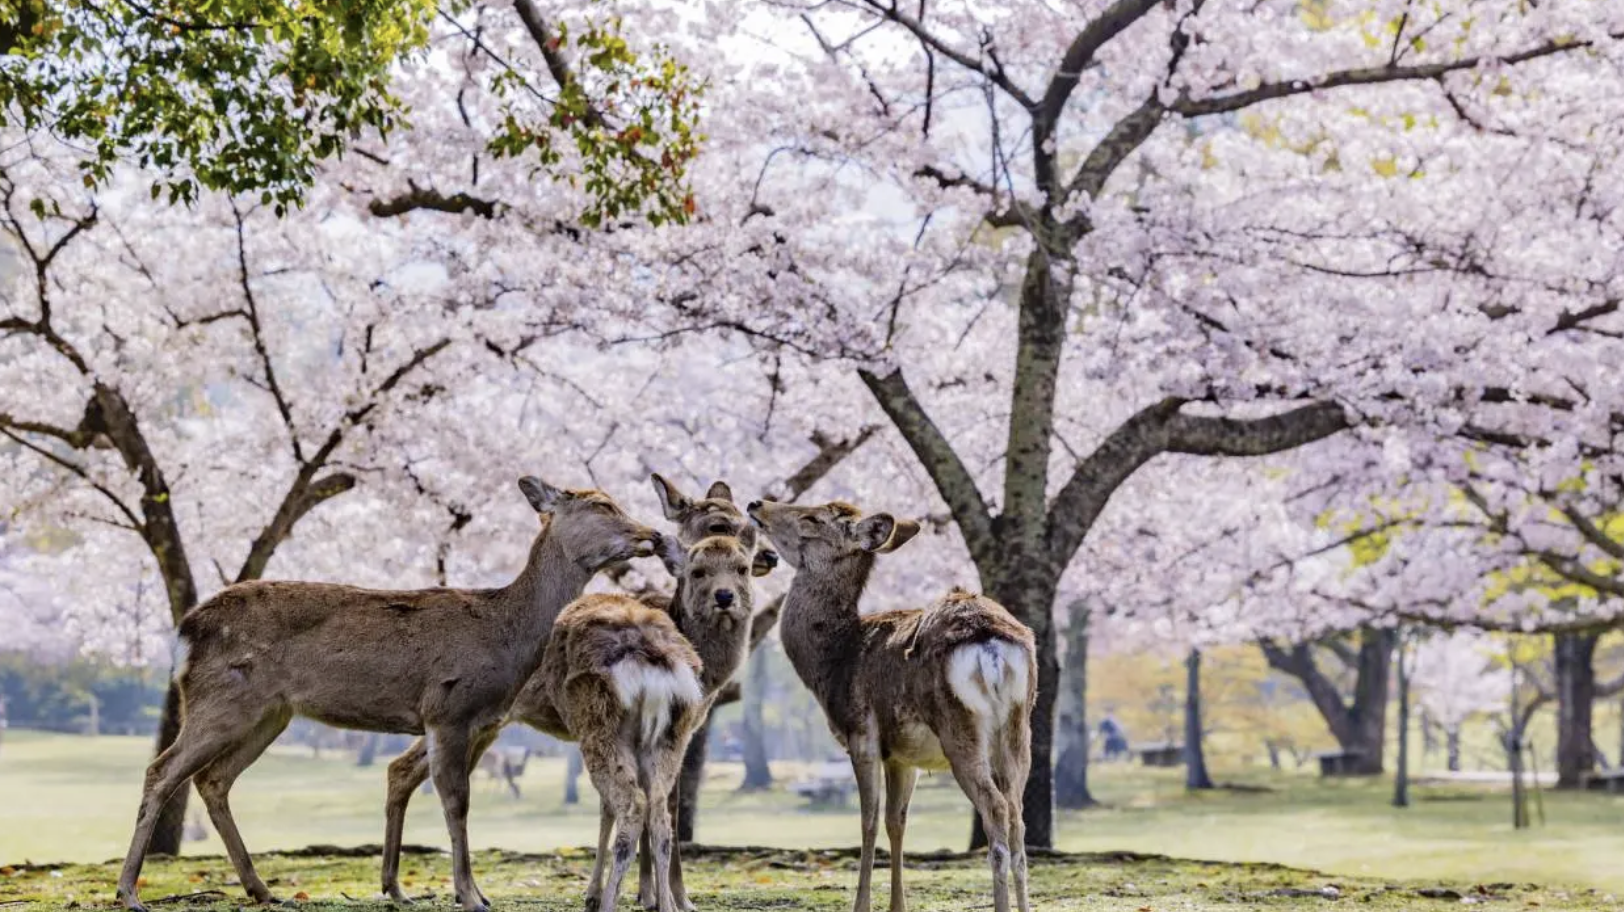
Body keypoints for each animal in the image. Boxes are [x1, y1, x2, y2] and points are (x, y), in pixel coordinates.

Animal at [114, 477, 662, 908]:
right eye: (602, 504)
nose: (653, 534)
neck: (505, 633)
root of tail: (185, 631)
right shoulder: (447, 708)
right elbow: (456, 800)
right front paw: (470, 896)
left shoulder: (480, 721)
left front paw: (469, 892)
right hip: (220, 699)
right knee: (162, 770)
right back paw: (129, 893)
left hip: (270, 714)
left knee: (213, 779)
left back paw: (263, 890)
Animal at [383, 470, 776, 902]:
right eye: (717, 525)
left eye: (750, 528)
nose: (770, 557)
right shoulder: (680, 726)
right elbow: (657, 805)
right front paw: (666, 897)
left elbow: (622, 805)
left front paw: (630, 893)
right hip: (464, 716)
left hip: (478, 723)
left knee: (404, 770)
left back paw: (405, 885)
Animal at [743, 496, 1032, 908]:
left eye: (812, 518)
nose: (757, 503)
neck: (834, 660)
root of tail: (991, 644)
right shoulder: (904, 755)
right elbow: (897, 821)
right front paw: (898, 905)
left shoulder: (861, 733)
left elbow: (868, 819)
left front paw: (861, 905)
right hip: (1018, 728)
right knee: (1017, 816)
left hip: (959, 727)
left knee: (996, 808)